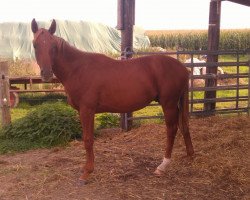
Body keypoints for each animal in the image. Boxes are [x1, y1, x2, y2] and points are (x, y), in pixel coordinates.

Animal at [31, 19, 194, 184]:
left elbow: (88, 139)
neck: (78, 69)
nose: (46, 73)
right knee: (183, 125)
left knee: (172, 129)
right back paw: (190, 154)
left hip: (168, 104)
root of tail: (182, 68)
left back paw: (163, 165)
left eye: (53, 46)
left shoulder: (87, 110)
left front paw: (87, 172)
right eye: (35, 45)